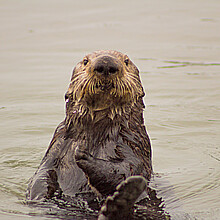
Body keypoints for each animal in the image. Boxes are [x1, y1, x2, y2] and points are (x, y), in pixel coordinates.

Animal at [27, 50, 155, 219]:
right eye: (85, 61)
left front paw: (83, 156)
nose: (106, 64)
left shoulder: (135, 142)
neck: (97, 132)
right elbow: (43, 173)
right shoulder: (57, 142)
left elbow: (130, 169)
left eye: (126, 61)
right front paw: (37, 197)